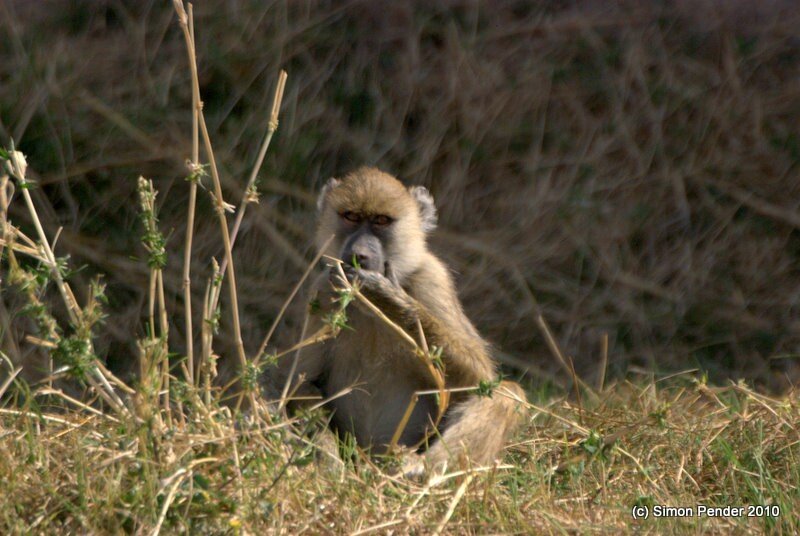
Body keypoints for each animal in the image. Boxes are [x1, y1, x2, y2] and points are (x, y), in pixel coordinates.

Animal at [270, 167, 527, 475]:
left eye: (381, 221)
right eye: (350, 216)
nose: (359, 254)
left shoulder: (432, 278)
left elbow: (478, 380)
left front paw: (387, 299)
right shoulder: (323, 291)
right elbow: (300, 386)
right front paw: (330, 463)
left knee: (506, 394)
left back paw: (419, 471)